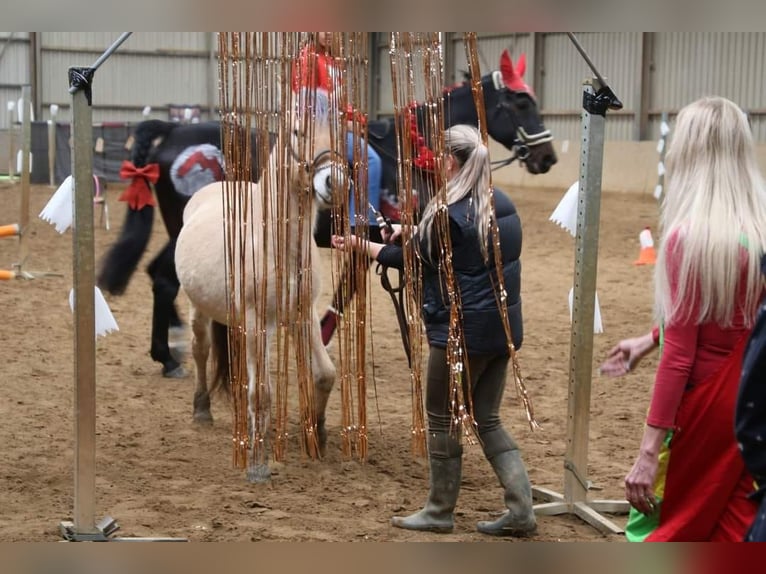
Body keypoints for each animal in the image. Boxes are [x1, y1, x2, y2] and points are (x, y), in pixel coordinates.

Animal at [176, 119, 350, 484]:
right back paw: (202, 409)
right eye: (298, 131)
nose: (336, 182)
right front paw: (258, 460)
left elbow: (324, 374)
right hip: (200, 310)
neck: (277, 244)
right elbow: (263, 392)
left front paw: (318, 436)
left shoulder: (304, 316)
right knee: (201, 351)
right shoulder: (259, 320)